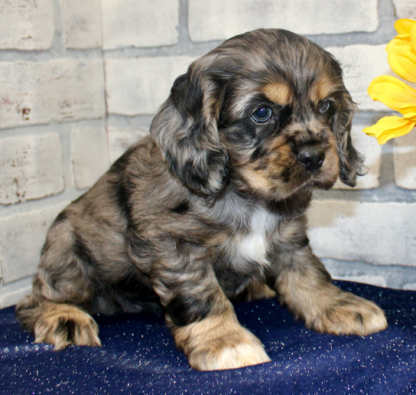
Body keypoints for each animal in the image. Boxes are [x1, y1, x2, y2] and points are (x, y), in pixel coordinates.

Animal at [15, 28, 386, 372]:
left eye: (326, 106)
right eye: (261, 113)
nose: (314, 156)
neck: (246, 194)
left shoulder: (288, 235)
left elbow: (307, 272)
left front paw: (337, 305)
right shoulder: (175, 244)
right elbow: (201, 295)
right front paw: (225, 341)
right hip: (68, 250)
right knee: (36, 298)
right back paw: (64, 317)